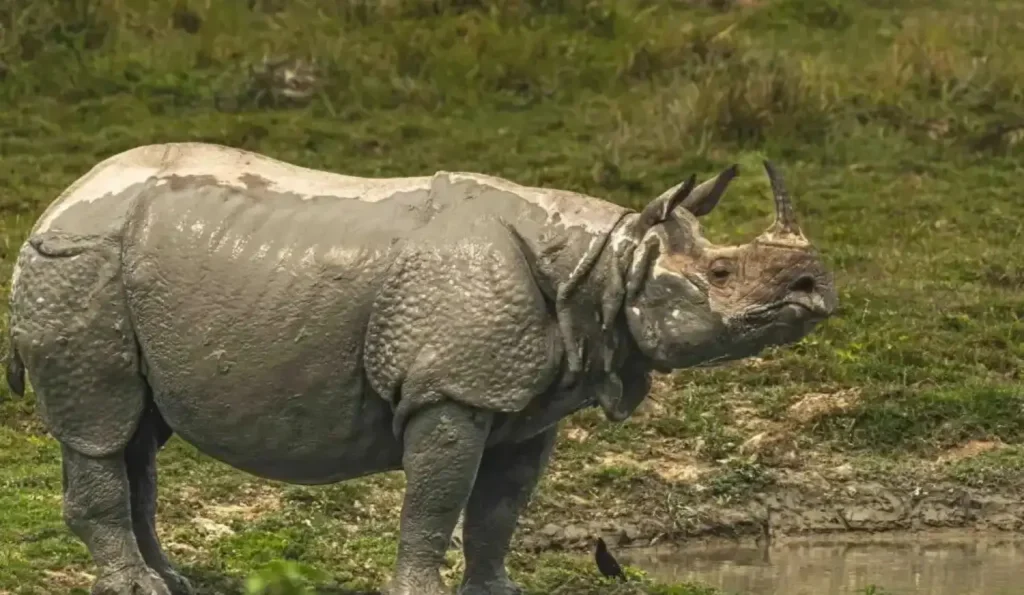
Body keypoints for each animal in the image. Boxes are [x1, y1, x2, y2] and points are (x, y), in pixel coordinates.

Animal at [4, 142, 837, 595]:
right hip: (77, 264)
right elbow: (435, 500)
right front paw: (420, 586)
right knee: (99, 424)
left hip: (112, 269)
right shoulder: (451, 389)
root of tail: (56, 204)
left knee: (138, 432)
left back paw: (169, 580)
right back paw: (137, 581)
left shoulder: (528, 401)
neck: (606, 263)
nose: (816, 285)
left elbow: (501, 508)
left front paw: (499, 588)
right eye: (722, 274)